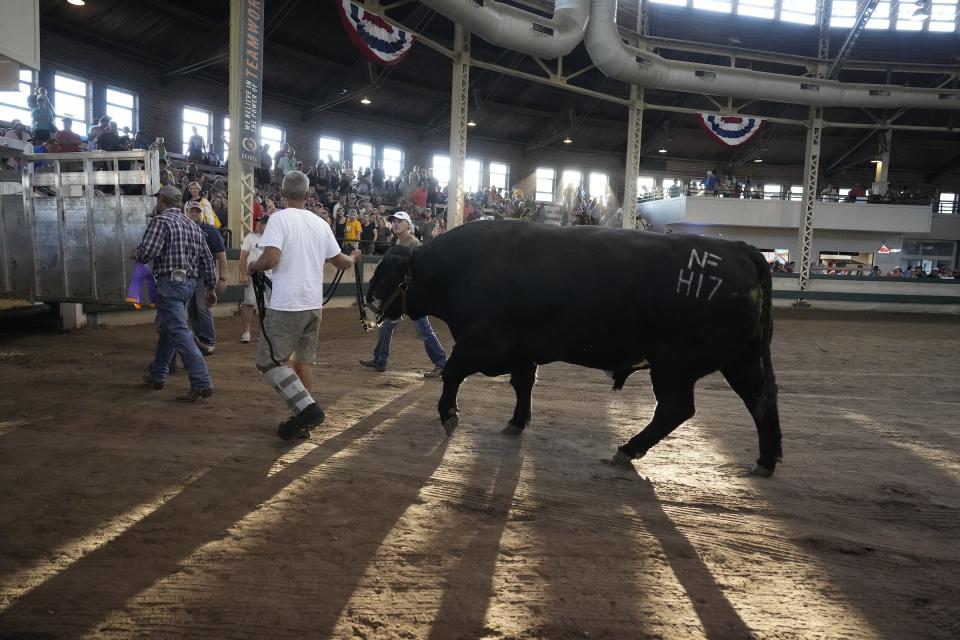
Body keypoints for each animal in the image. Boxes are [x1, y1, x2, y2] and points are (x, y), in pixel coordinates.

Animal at [366, 220, 780, 476]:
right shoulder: (521, 352)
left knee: (676, 409)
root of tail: (739, 249)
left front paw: (449, 414)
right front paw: (517, 422)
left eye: (385, 275)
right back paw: (767, 459)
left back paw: (627, 449)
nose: (369, 303)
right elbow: (523, 385)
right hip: (741, 360)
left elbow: (452, 372)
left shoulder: (482, 343)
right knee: (760, 398)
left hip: (674, 366)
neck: (463, 267)